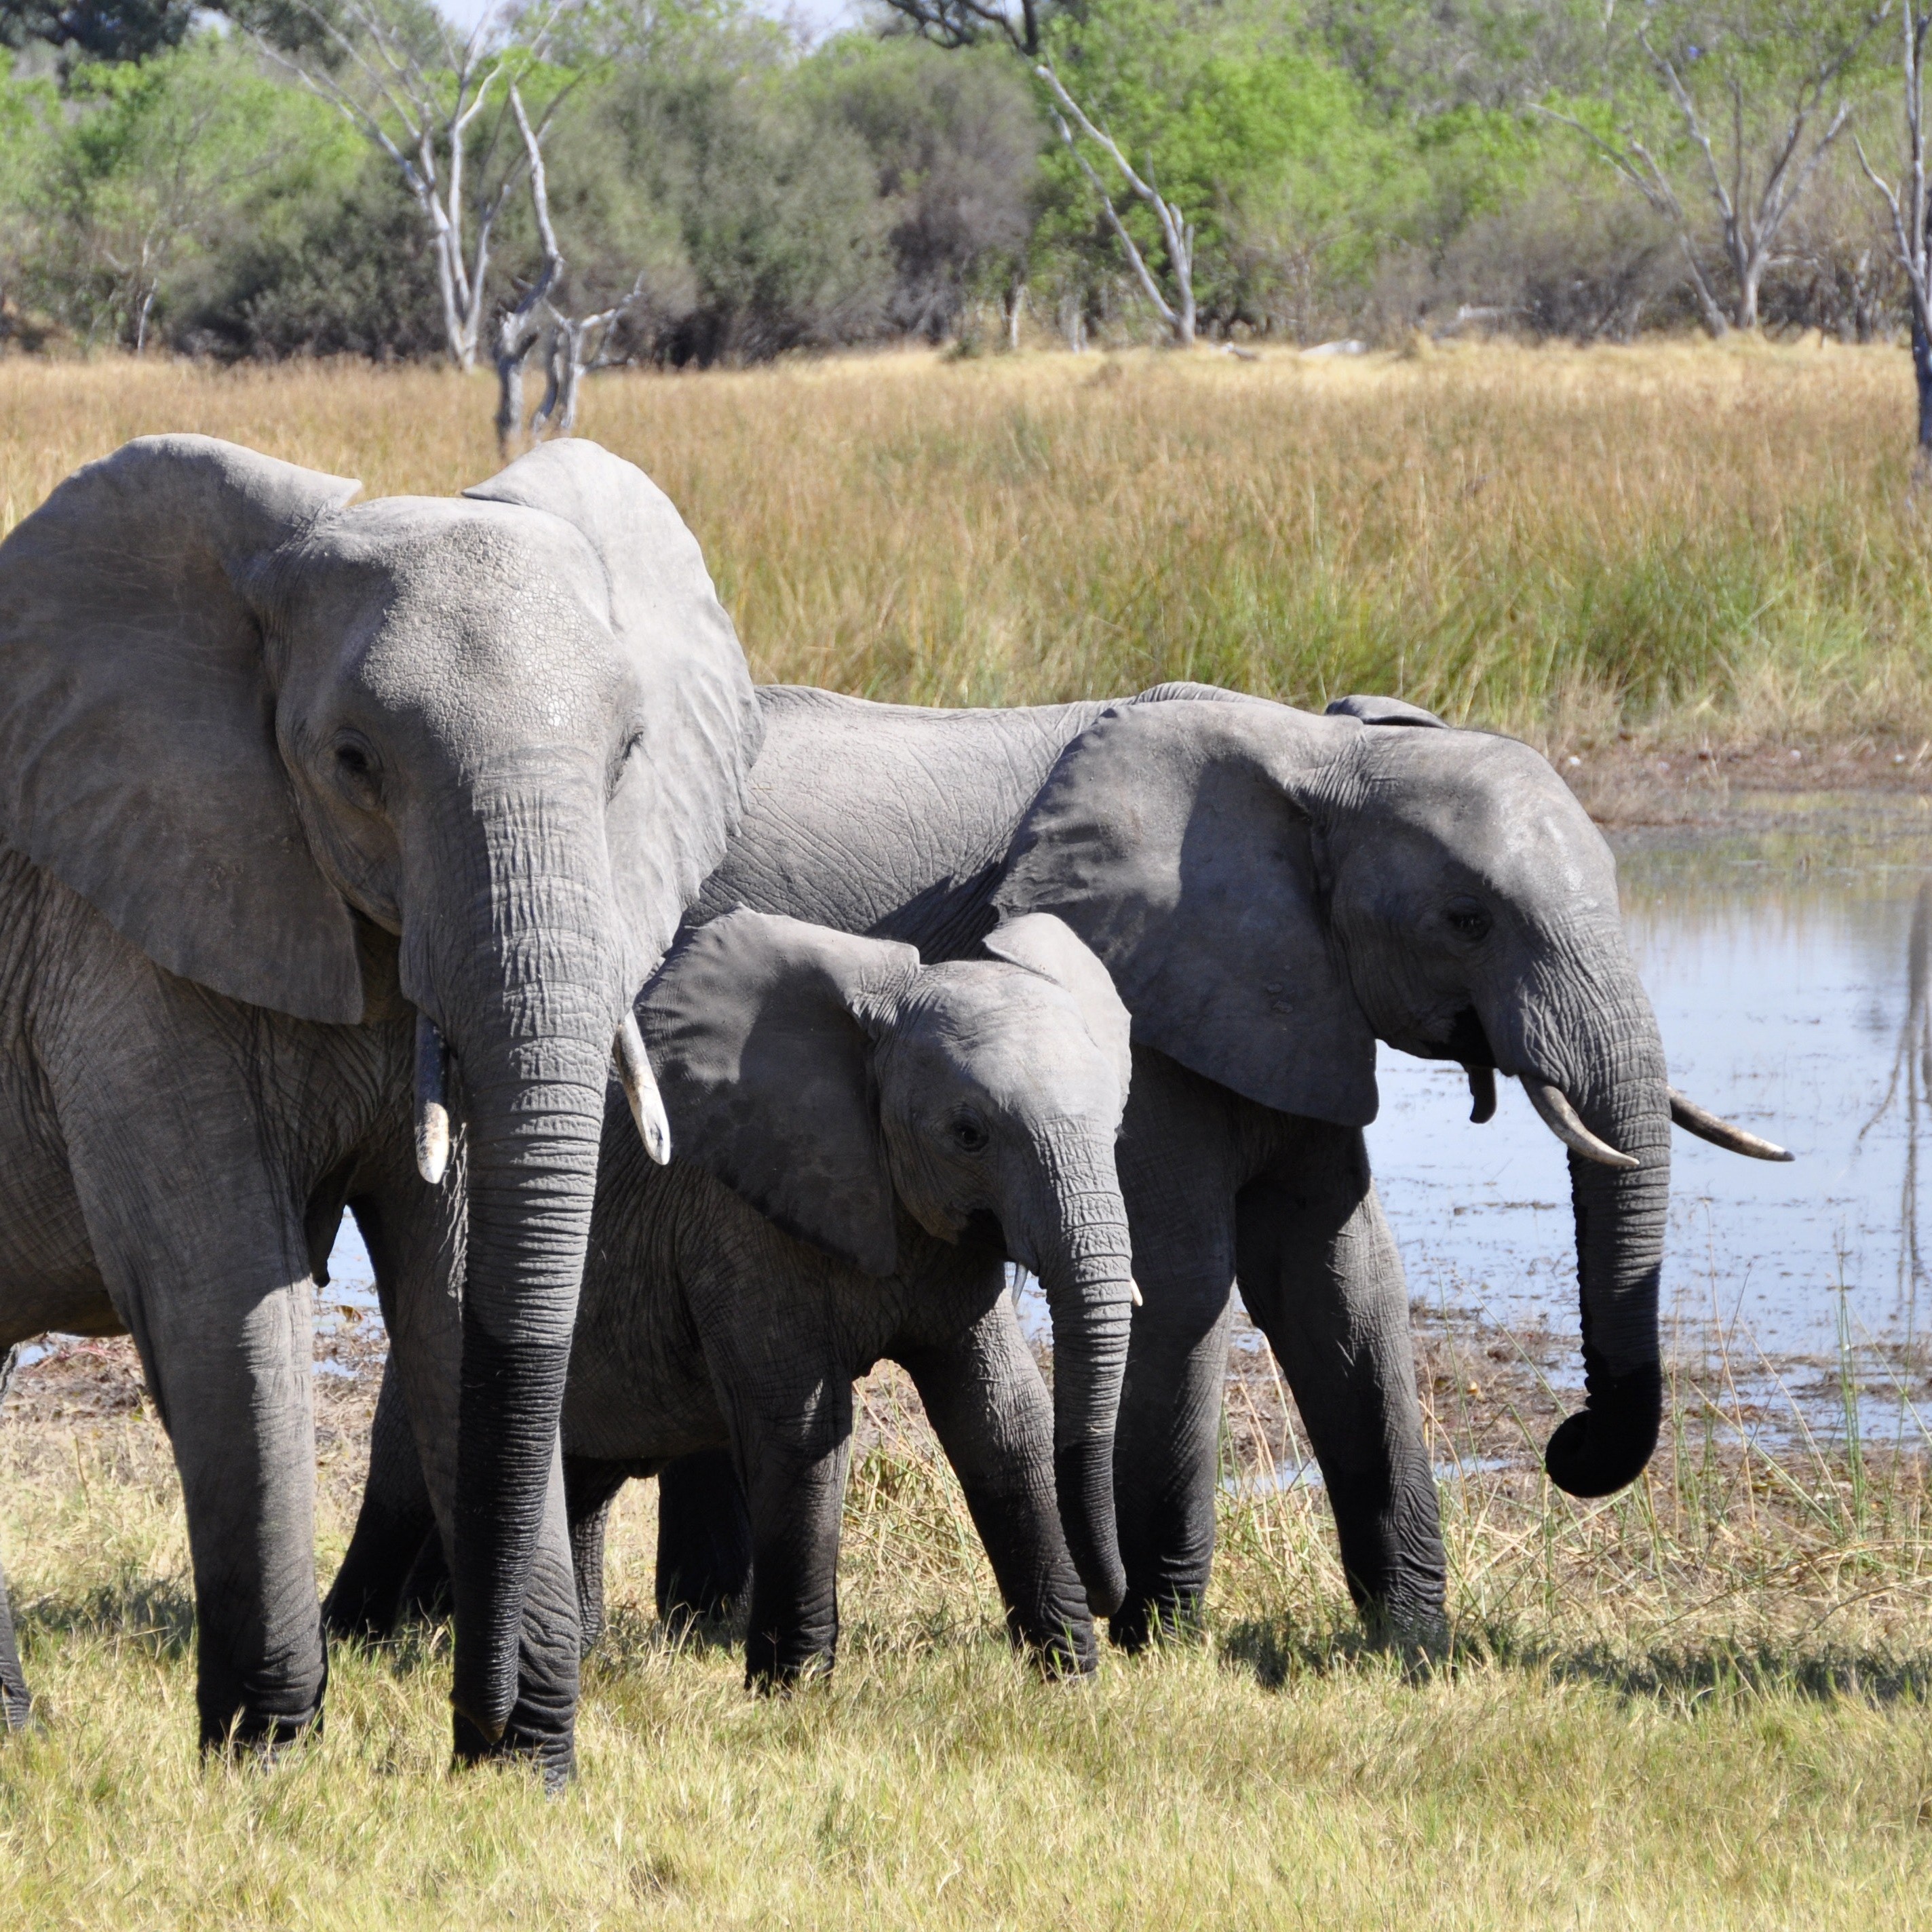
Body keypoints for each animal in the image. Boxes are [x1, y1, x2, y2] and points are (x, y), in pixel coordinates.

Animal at [0, 431, 753, 1769]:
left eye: (628, 756)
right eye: (355, 763)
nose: (480, 1720)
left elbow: (454, 1292)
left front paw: (526, 1774)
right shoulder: (118, 928)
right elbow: (221, 1290)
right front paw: (264, 1760)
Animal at [334, 904, 1136, 1677]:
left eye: (1115, 1123)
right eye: (968, 1134)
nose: (1112, 1598)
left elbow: (1002, 1419)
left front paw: (1069, 1674)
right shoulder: (732, 1219)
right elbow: (801, 1427)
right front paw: (794, 1687)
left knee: (583, 1478)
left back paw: (572, 1650)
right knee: (408, 1476)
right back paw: (356, 1646)